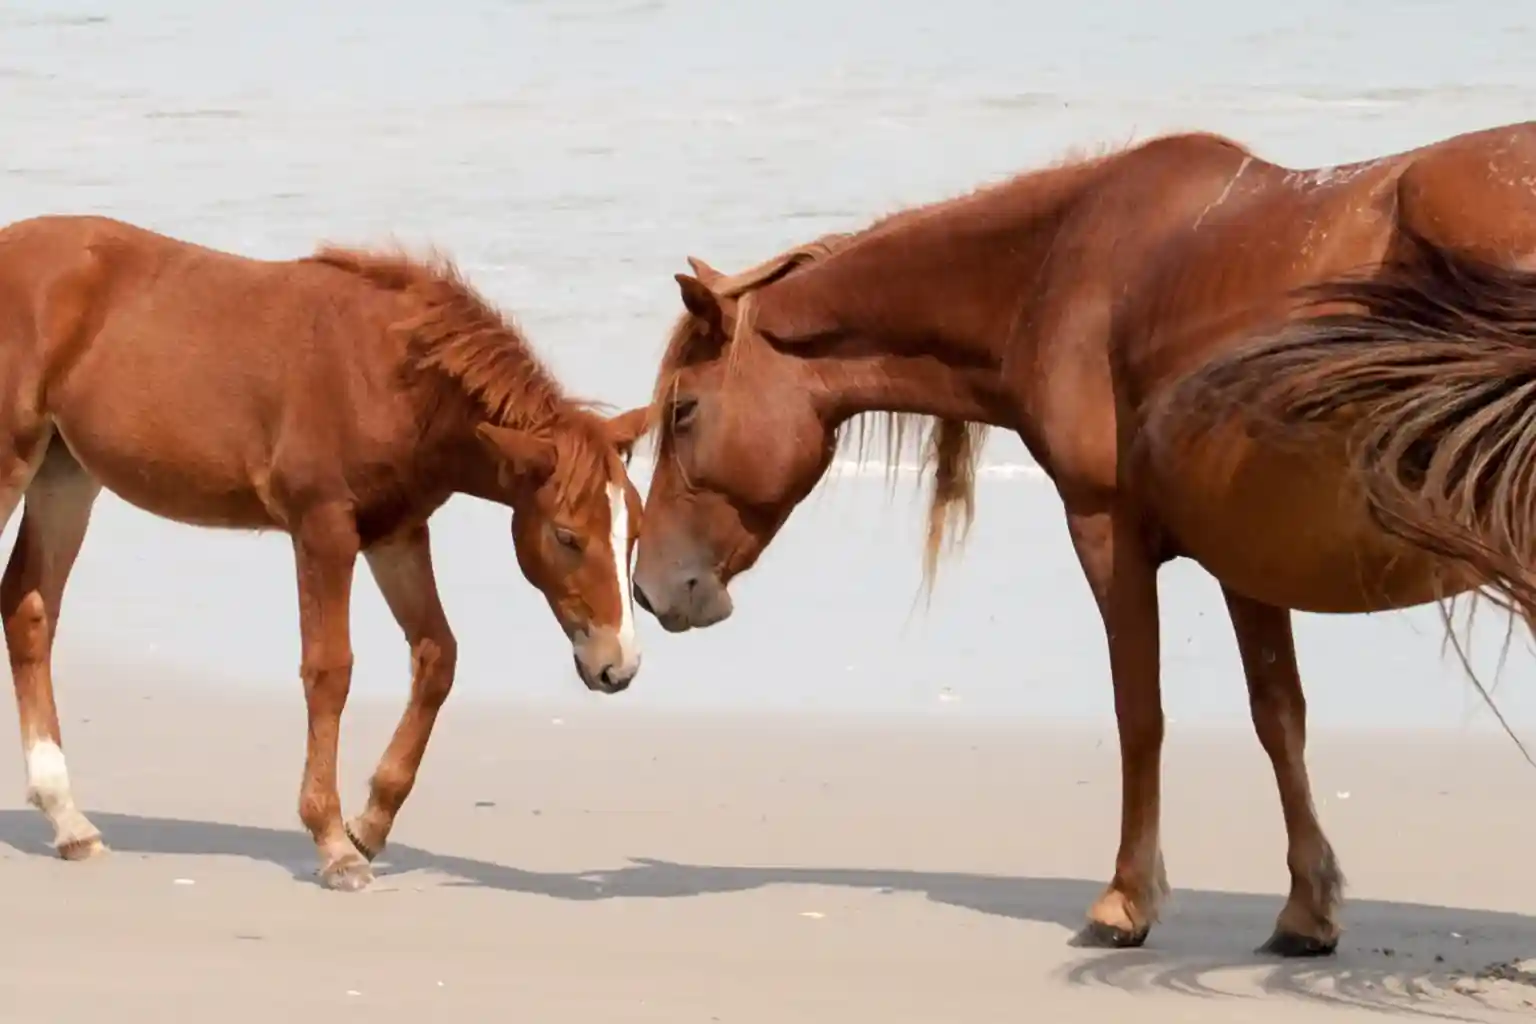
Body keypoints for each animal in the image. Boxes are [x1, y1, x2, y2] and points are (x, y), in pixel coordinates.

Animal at [0, 214, 649, 891]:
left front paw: (370, 825)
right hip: (12, 459)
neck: (392, 378)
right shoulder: (323, 527)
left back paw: (70, 822)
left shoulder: (395, 533)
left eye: (634, 532)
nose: (619, 666)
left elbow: (436, 656)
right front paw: (335, 844)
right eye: (567, 536)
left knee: (29, 608)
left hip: (65, 473)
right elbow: (329, 669)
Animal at [628, 120, 1536, 955]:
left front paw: (1125, 900)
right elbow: (1279, 716)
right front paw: (1307, 910)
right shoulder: (1246, 559)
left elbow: (1141, 712)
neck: (1059, 268)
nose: (650, 586)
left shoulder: (1106, 528)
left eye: (684, 411)